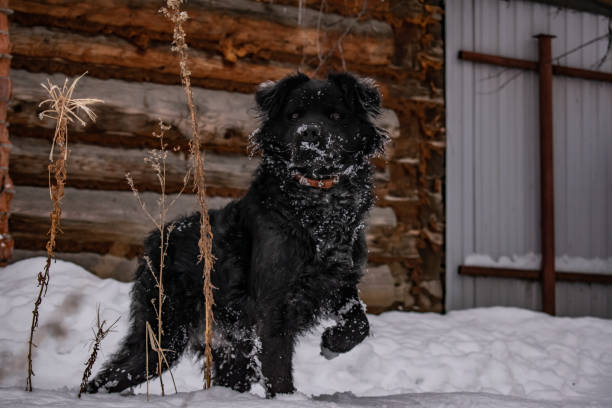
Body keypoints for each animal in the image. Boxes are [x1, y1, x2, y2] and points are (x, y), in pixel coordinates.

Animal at [88, 71, 388, 396]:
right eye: (294, 115)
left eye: (335, 115)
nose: (308, 133)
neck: (320, 201)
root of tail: (157, 238)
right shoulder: (275, 303)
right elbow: (278, 364)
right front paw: (285, 398)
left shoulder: (339, 282)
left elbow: (359, 322)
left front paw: (333, 342)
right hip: (164, 335)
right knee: (109, 376)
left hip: (231, 350)